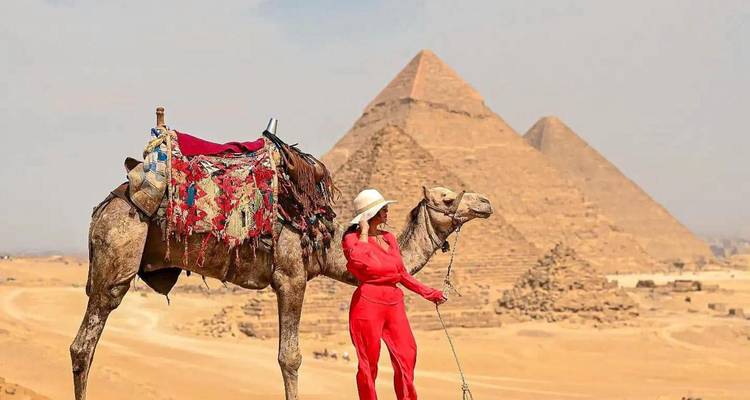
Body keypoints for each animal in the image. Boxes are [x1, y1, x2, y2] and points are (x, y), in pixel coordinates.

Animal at [71, 176, 492, 400]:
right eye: (448, 198)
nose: (486, 202)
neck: (323, 239)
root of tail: (101, 207)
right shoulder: (291, 278)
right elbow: (290, 357)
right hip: (118, 254)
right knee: (84, 343)